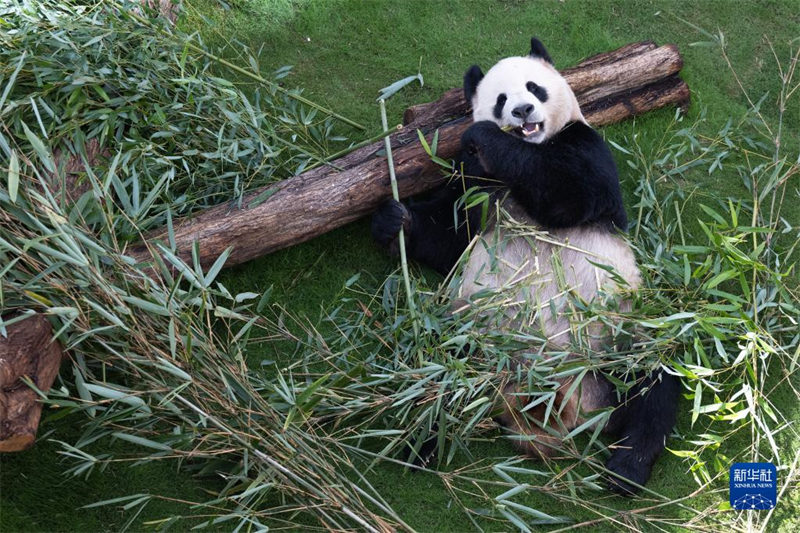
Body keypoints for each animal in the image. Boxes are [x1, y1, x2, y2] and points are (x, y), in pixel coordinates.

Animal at [372, 38, 679, 494]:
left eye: (534, 87)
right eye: (501, 99)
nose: (522, 111)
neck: (530, 147)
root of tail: (554, 406)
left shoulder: (586, 147)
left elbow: (569, 192)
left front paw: (486, 138)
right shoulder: (472, 181)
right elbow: (449, 232)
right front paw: (395, 220)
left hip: (619, 333)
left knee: (654, 380)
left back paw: (628, 468)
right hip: (469, 339)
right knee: (439, 378)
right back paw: (420, 440)